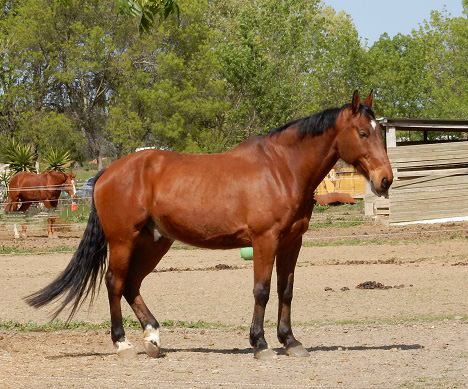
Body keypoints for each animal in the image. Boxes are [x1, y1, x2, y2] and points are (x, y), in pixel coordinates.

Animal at [24, 90, 392, 358]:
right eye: (362, 133)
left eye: (381, 134)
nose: (385, 179)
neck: (282, 169)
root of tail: (107, 173)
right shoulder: (265, 240)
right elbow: (262, 290)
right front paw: (260, 344)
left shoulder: (292, 241)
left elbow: (285, 291)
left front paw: (290, 341)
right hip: (123, 240)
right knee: (115, 283)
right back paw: (123, 343)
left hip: (154, 242)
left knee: (131, 285)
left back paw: (153, 338)